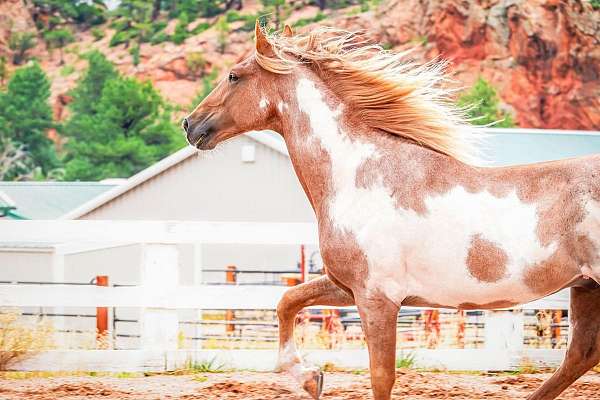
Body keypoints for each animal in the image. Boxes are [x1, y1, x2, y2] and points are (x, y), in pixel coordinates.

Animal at [183, 21, 600, 400]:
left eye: (234, 75)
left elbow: (381, 376)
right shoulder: (347, 287)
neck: (359, 176)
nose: (189, 124)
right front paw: (310, 378)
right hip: (585, 288)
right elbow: (287, 302)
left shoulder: (377, 299)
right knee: (579, 356)